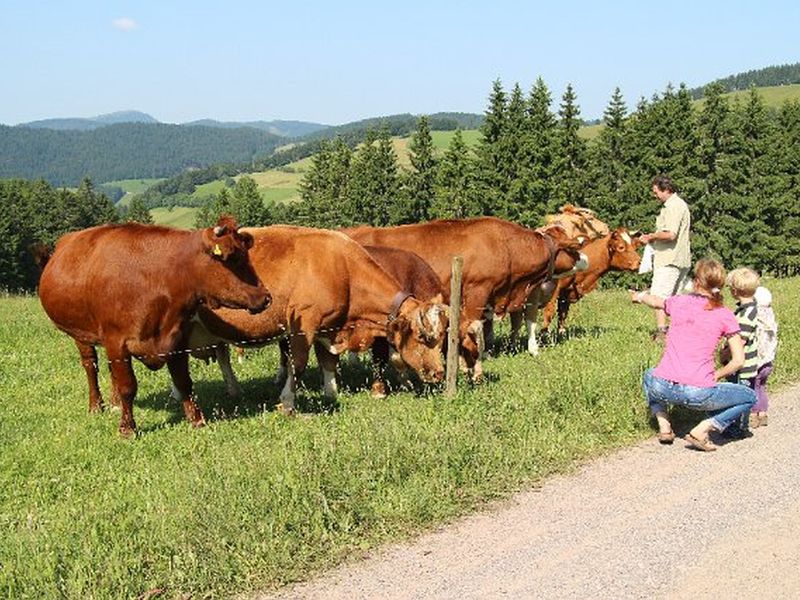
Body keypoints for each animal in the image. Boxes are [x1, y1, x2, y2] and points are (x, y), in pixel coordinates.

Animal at [39, 216, 272, 436]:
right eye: (234, 257)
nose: (266, 297)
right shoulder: (117, 340)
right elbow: (127, 386)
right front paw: (127, 428)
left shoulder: (176, 337)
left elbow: (183, 381)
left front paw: (197, 420)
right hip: (81, 334)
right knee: (91, 366)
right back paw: (96, 405)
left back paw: (114, 404)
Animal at [191, 223, 446, 414]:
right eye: (423, 337)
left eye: (443, 336)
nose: (439, 373)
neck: (343, 269)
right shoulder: (304, 322)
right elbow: (299, 363)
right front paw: (287, 402)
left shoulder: (328, 326)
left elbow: (328, 362)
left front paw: (331, 393)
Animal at [512, 227, 644, 354]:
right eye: (621, 247)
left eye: (634, 246)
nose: (640, 262)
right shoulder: (554, 290)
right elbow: (549, 313)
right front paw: (544, 336)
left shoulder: (565, 294)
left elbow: (563, 314)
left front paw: (561, 334)